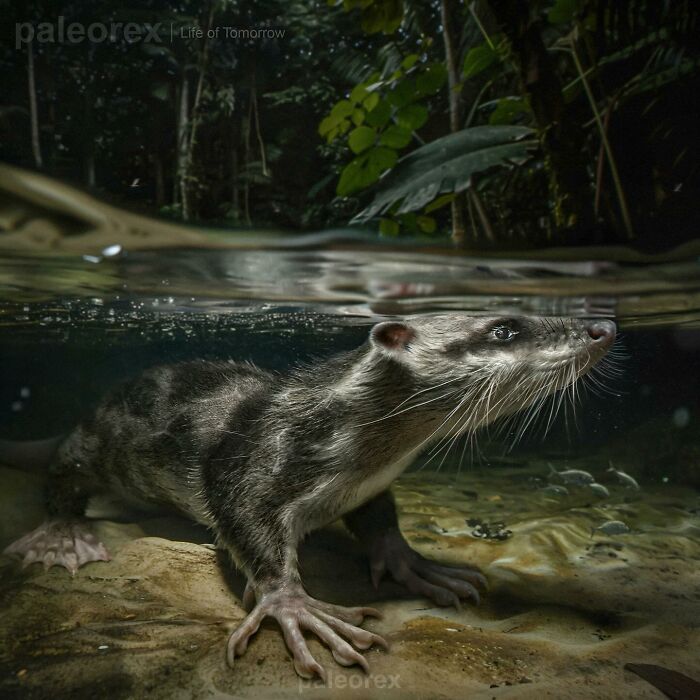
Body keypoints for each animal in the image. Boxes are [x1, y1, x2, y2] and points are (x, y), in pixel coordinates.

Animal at [4, 314, 616, 680]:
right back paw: (64, 537)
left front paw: (415, 565)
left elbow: (381, 519)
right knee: (62, 474)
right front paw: (296, 608)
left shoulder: (370, 486)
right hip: (93, 446)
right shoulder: (252, 459)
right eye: (506, 329)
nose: (603, 326)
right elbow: (243, 521)